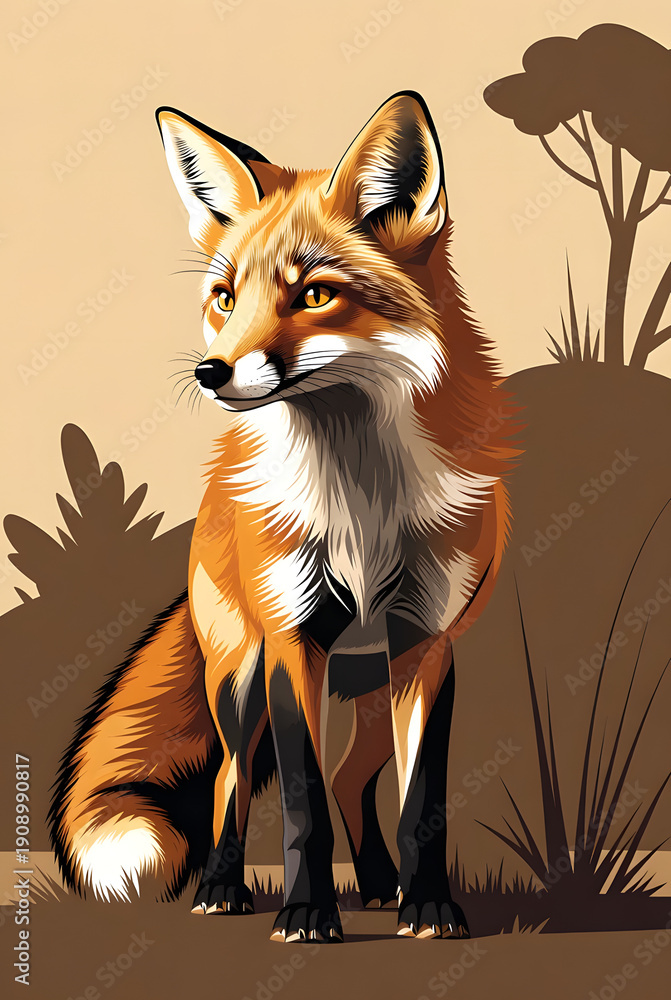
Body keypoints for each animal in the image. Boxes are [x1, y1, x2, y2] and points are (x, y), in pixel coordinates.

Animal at [50, 91, 518, 943]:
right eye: (226, 298)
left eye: (314, 295)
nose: (210, 371)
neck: (359, 503)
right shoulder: (292, 644)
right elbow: (299, 805)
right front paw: (305, 913)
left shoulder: (426, 646)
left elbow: (420, 806)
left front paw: (428, 906)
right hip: (240, 679)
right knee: (232, 784)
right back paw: (222, 888)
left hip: (366, 689)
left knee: (352, 781)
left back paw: (379, 886)